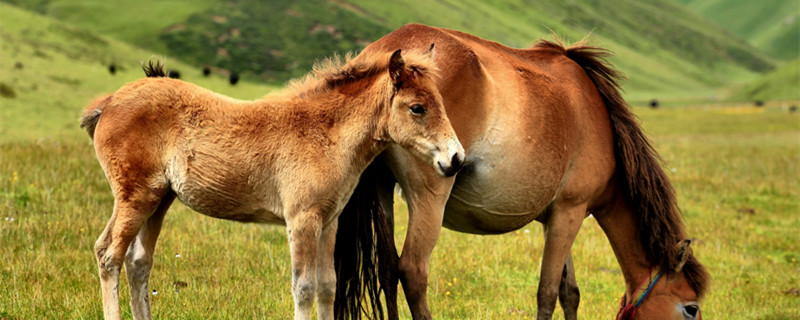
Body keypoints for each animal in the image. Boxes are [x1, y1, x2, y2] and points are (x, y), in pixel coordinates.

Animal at [80, 48, 462, 318]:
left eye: (441, 103)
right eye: (417, 108)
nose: (456, 159)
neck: (324, 135)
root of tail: (109, 102)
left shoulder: (329, 222)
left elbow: (327, 286)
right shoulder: (302, 220)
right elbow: (304, 287)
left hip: (160, 199)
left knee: (138, 263)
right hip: (136, 196)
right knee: (108, 253)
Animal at [334, 24, 708, 320]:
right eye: (691, 309)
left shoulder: (555, 218)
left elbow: (569, 292)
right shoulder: (570, 212)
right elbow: (547, 293)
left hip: (382, 192)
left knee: (386, 269)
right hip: (430, 198)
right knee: (412, 270)